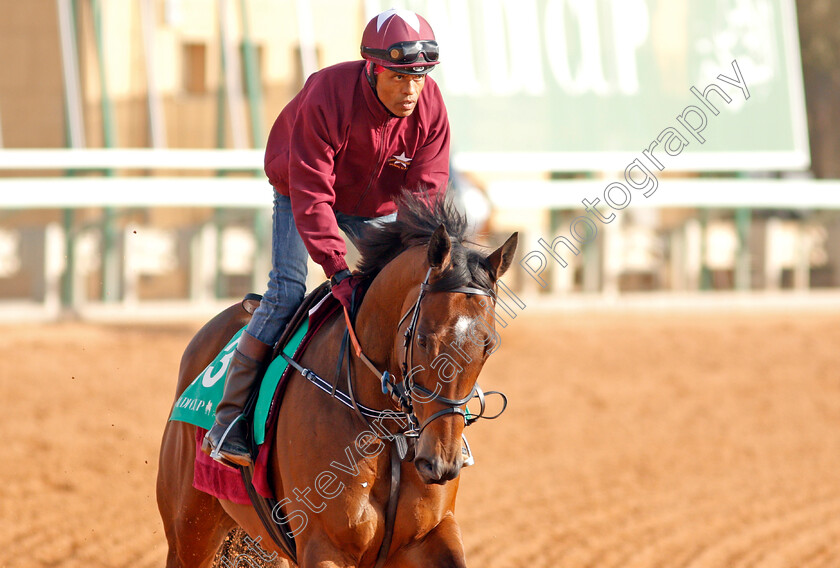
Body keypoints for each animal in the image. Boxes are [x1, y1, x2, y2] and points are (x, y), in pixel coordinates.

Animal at [154, 193, 516, 564]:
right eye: (424, 339)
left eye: (488, 345)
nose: (440, 463)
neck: (387, 428)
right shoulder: (324, 544)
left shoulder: (431, 534)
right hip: (189, 533)